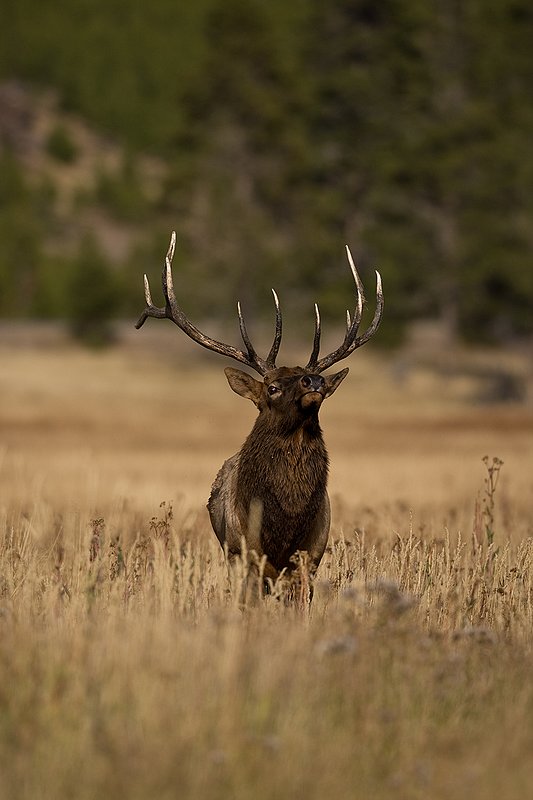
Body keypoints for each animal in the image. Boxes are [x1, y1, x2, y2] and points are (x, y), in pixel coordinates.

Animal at [136, 232, 383, 592]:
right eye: (273, 388)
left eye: (319, 385)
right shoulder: (245, 555)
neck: (284, 525)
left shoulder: (311, 557)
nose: (315, 380)